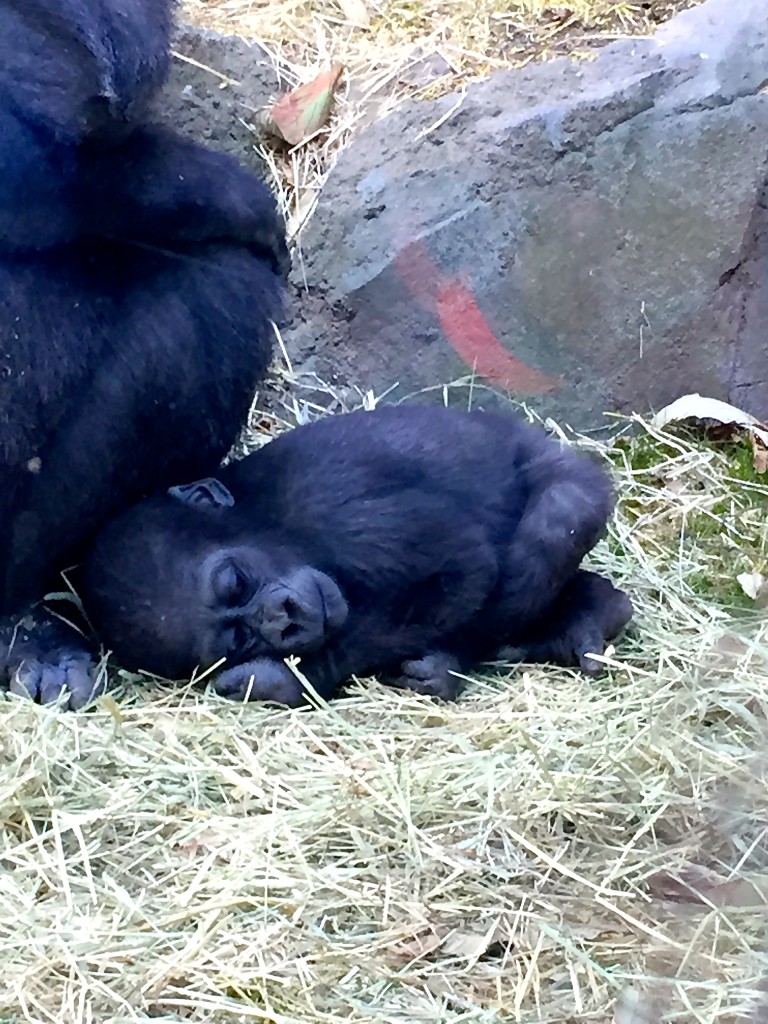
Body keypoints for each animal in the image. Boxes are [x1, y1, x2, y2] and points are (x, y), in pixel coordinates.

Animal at [81, 405, 634, 704]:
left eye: (235, 581)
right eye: (238, 639)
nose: (284, 620)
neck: (267, 517)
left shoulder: (333, 503)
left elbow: (463, 570)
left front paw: (279, 680)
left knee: (551, 528)